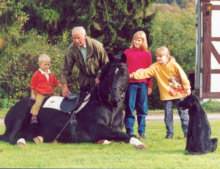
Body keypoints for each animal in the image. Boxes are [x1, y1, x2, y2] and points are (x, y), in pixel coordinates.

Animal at [0, 54, 146, 149]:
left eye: (124, 73)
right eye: (110, 74)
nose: (115, 98)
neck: (109, 108)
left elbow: (121, 135)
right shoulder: (98, 129)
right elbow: (121, 135)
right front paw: (139, 143)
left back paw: (38, 138)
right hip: (19, 118)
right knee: (11, 137)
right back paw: (21, 141)